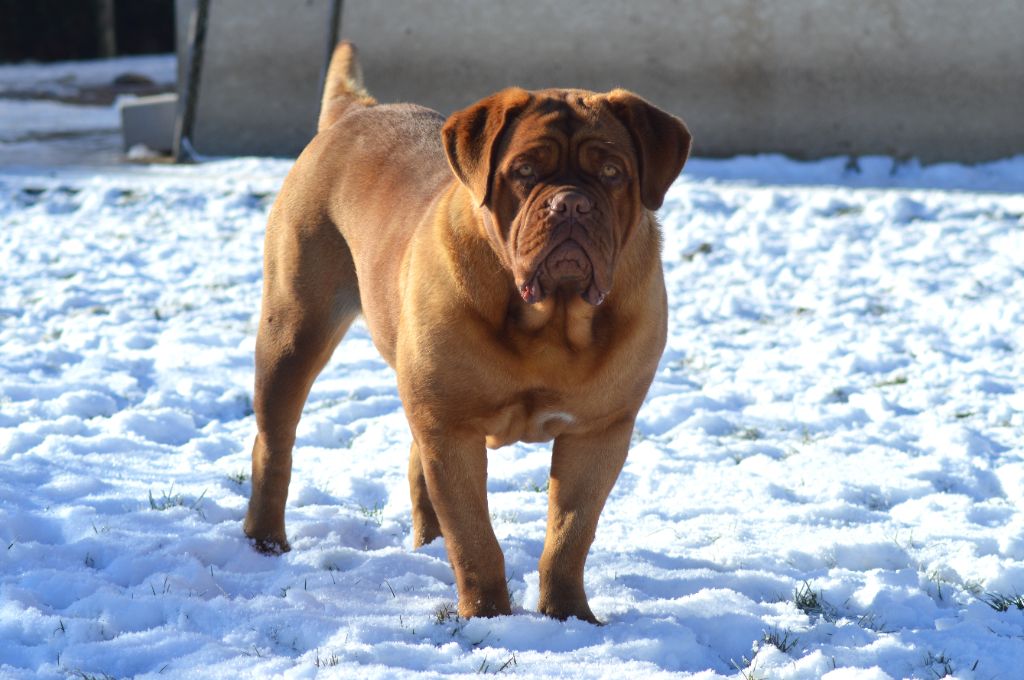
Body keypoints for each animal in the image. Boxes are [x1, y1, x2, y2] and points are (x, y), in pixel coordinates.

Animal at [241, 41, 688, 622]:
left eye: (612, 171)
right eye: (525, 170)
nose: (569, 202)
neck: (553, 320)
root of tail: (355, 111)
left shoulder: (598, 432)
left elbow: (570, 534)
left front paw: (568, 616)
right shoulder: (451, 426)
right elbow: (475, 536)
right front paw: (488, 615)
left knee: (416, 466)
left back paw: (427, 544)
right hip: (294, 333)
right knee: (275, 444)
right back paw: (266, 540)